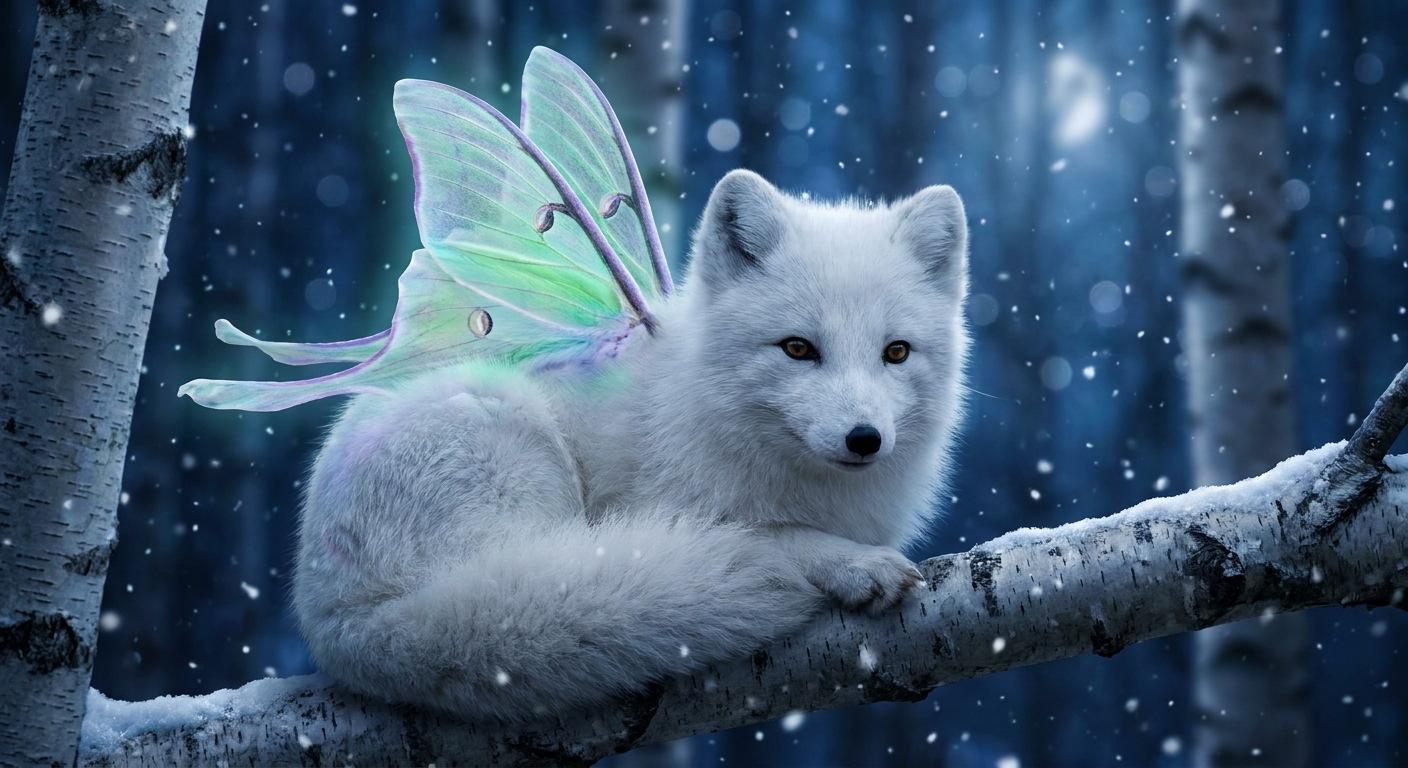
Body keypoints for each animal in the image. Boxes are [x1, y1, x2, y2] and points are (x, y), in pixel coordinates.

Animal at [292, 169, 970, 722]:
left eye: (897, 352)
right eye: (798, 348)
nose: (865, 439)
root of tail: (339, 619)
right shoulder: (659, 506)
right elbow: (773, 538)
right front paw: (853, 564)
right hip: (515, 447)